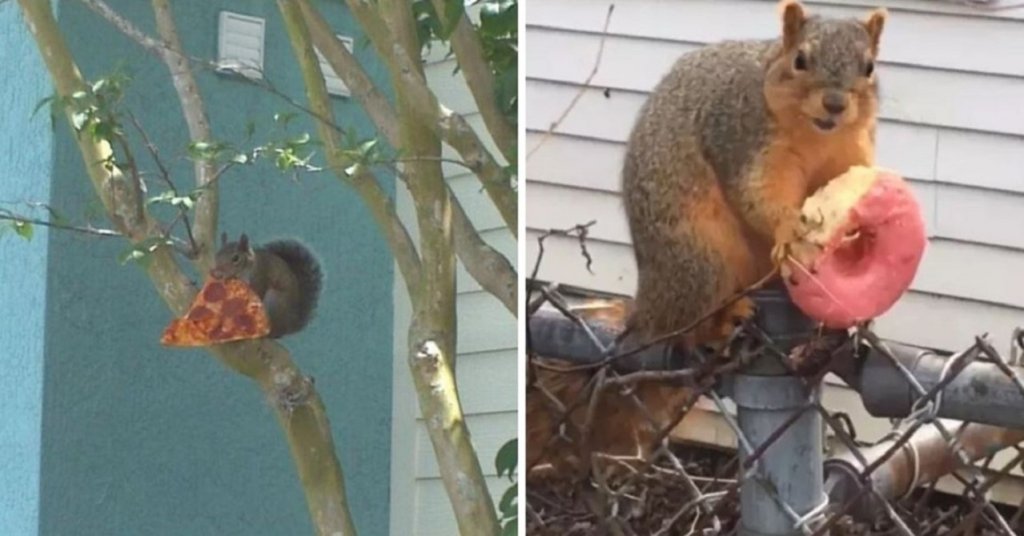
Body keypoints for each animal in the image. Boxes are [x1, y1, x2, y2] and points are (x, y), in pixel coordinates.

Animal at [527, 1, 887, 482]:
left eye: (869, 67)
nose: (834, 103)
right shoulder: (743, 140)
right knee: (689, 331)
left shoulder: (850, 154)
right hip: (701, 259)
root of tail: (650, 305)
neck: (816, 134)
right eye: (800, 60)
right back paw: (725, 321)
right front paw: (789, 228)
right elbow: (757, 195)